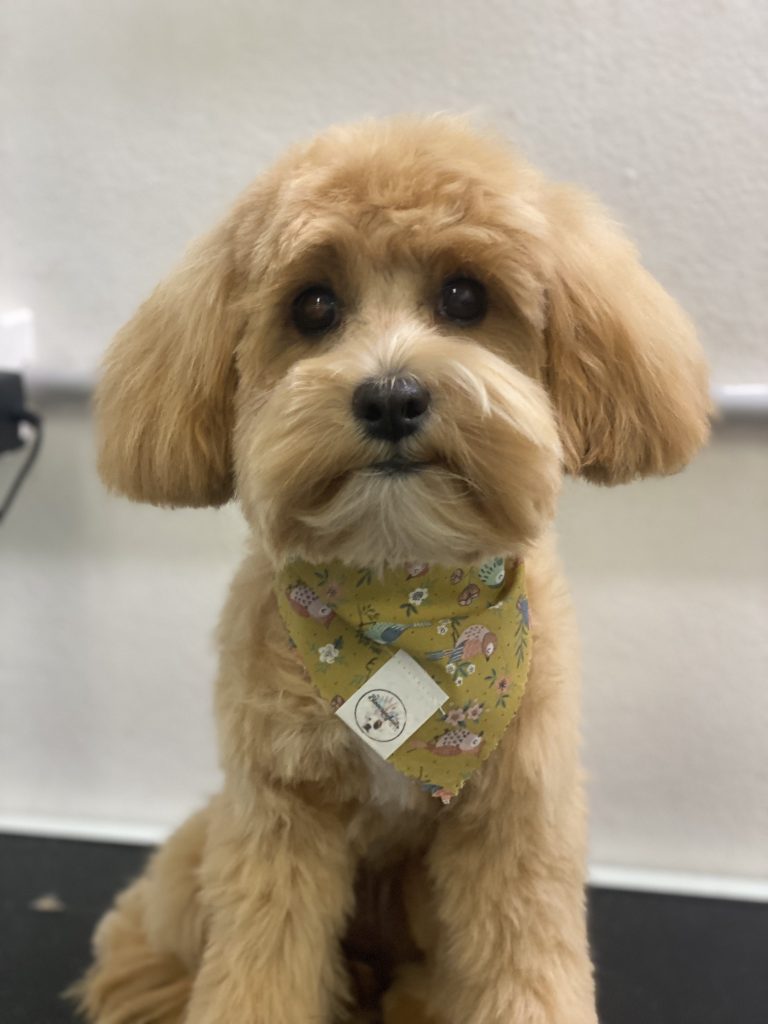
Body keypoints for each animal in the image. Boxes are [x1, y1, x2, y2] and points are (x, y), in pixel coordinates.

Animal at [75, 116, 712, 1019]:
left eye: (464, 297)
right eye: (313, 305)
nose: (390, 397)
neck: (404, 593)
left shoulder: (517, 819)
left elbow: (527, 967)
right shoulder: (279, 813)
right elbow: (261, 966)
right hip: (208, 840)